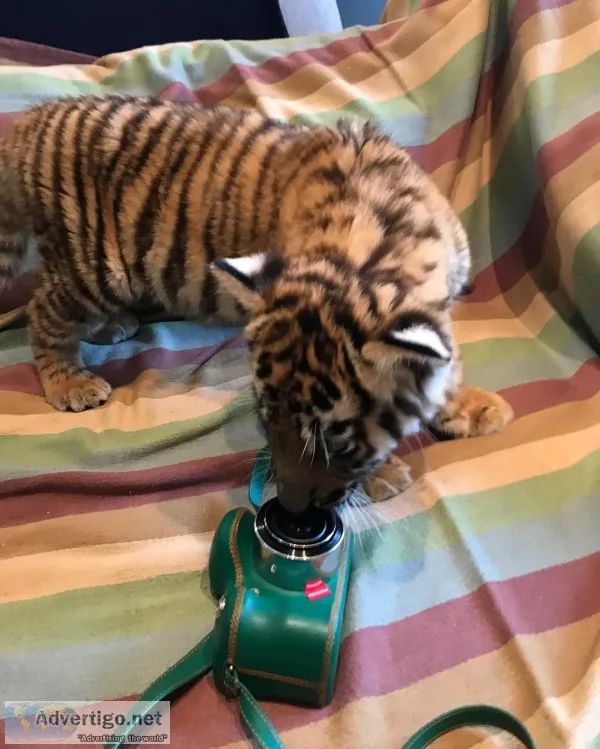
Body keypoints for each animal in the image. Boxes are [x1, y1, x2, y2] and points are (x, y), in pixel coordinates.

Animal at [0, 95, 513, 512]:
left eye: (335, 437)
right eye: (267, 420)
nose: (290, 505)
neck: (373, 247)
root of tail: (25, 123)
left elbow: (446, 360)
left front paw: (470, 408)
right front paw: (387, 477)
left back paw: (113, 327)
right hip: (93, 266)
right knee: (42, 311)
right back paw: (70, 382)